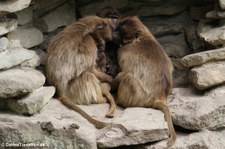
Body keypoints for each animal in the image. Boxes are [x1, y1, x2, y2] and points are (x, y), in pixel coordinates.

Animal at [113, 16, 177, 146]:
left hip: (140, 97)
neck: (140, 37)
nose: (114, 32)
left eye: (122, 28)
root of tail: (160, 97)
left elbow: (123, 71)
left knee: (127, 77)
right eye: (119, 25)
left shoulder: (123, 50)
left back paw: (119, 100)